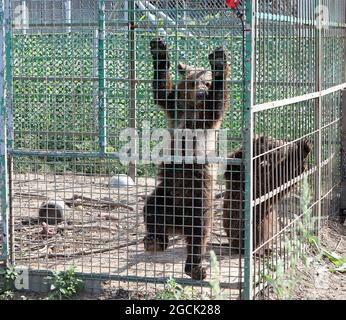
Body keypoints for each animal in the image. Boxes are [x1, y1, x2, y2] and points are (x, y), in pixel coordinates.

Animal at [143, 37, 230, 280]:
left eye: (207, 84)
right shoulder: (174, 106)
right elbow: (162, 91)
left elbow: (216, 104)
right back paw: (155, 241)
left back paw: (196, 267)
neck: (191, 108)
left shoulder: (205, 121)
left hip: (200, 198)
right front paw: (159, 49)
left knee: (200, 232)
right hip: (167, 193)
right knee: (152, 208)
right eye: (192, 83)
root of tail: (179, 225)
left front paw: (219, 61)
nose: (200, 93)